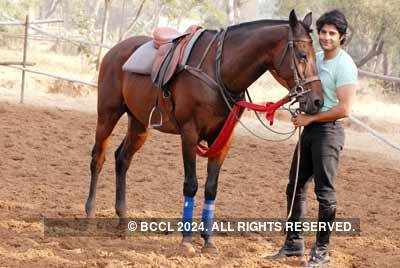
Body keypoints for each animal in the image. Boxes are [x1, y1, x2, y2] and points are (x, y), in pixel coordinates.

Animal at [86, 9, 324, 254]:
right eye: (302, 55)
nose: (317, 101)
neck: (219, 70)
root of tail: (115, 50)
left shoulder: (222, 139)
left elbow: (211, 188)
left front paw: (208, 241)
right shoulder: (189, 134)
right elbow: (191, 184)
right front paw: (186, 240)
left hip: (139, 123)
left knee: (122, 159)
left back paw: (123, 221)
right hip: (108, 114)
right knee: (98, 158)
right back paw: (90, 217)